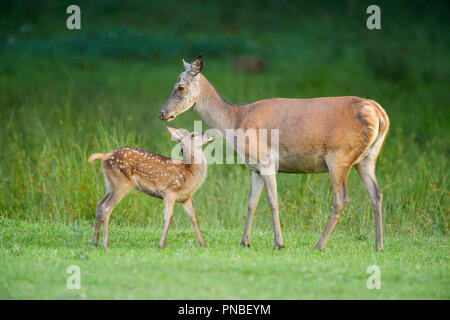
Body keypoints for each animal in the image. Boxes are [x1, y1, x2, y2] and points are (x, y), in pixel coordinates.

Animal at [160, 54, 388, 250]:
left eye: (180, 86)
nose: (162, 113)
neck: (236, 121)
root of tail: (379, 112)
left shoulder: (266, 160)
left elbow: (273, 201)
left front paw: (279, 243)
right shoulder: (255, 167)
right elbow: (251, 203)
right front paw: (245, 242)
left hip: (339, 156)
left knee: (341, 198)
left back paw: (319, 244)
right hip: (368, 158)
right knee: (376, 193)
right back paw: (379, 245)